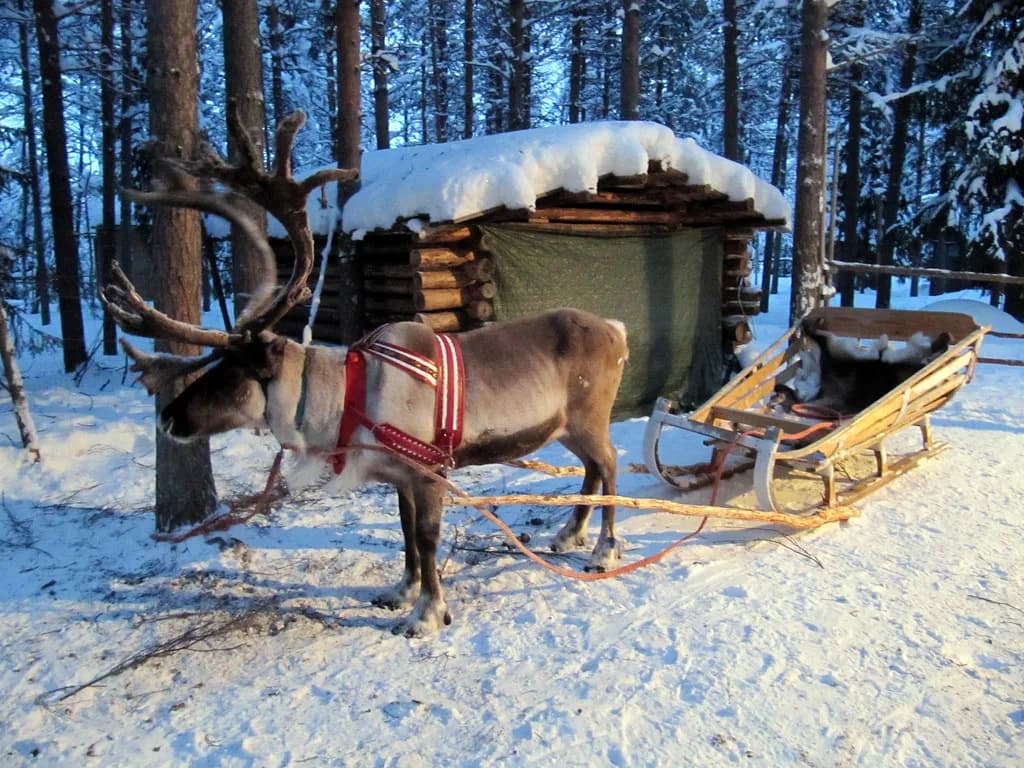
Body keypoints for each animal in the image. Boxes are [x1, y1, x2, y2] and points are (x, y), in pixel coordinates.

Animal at [103, 108, 630, 637]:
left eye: (234, 371)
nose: (167, 417)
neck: (348, 399)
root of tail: (616, 329)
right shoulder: (397, 477)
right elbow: (405, 533)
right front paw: (401, 592)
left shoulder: (429, 470)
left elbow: (428, 538)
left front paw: (428, 614)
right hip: (566, 426)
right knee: (590, 467)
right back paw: (569, 534)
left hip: (590, 417)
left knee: (608, 463)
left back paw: (604, 551)